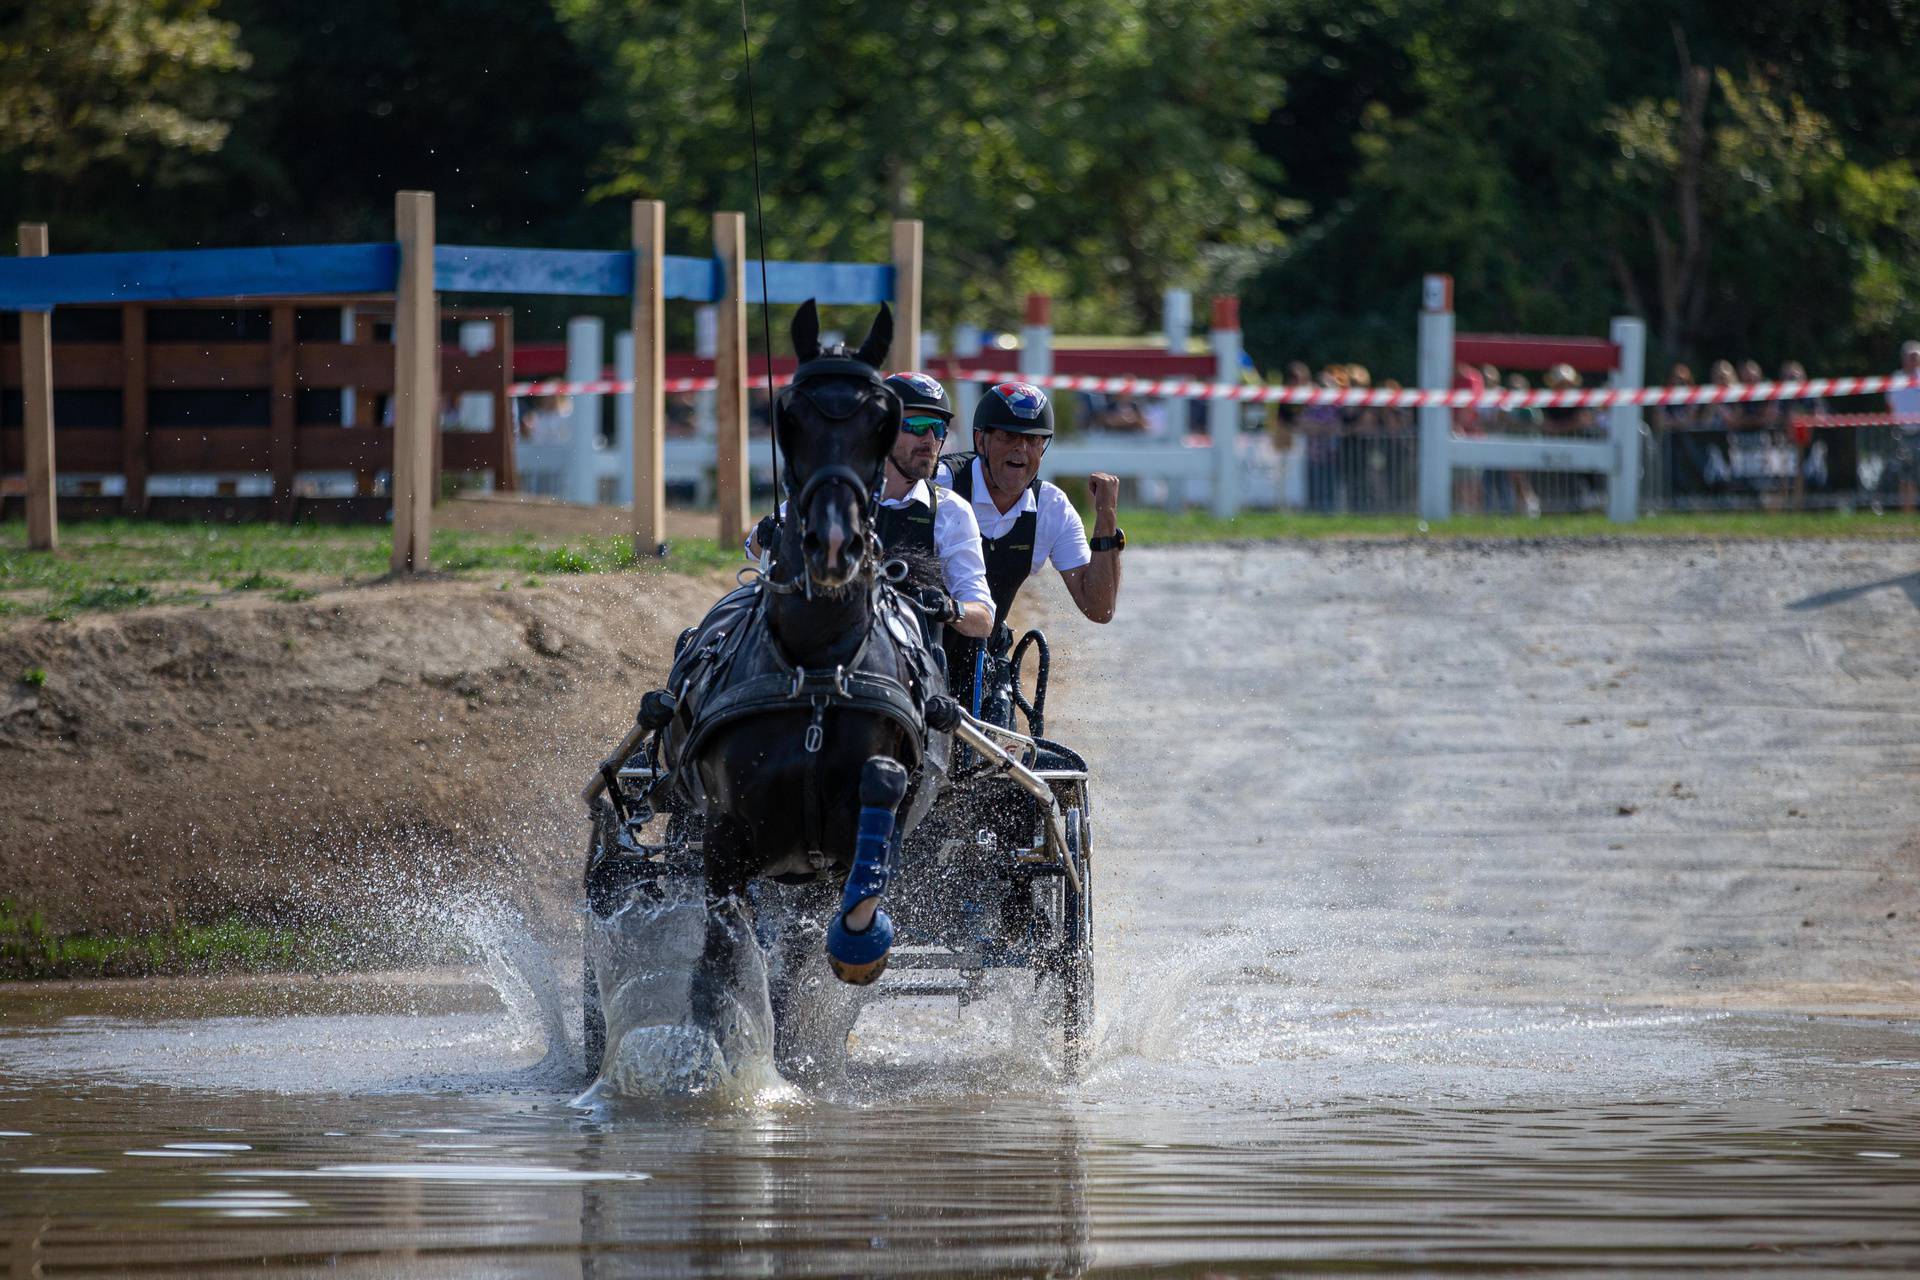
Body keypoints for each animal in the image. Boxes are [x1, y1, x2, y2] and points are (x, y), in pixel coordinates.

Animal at [583, 305, 944, 1090]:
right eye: (788, 416)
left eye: (884, 418)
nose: (832, 546)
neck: (814, 670)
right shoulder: (724, 838)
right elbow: (717, 963)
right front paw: (709, 1067)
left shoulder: (838, 852)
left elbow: (875, 806)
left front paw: (857, 946)